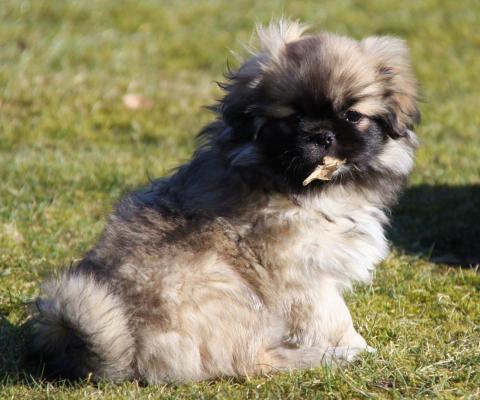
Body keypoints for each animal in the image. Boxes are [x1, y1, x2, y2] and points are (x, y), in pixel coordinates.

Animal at [28, 20, 420, 382]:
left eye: (352, 116)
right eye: (293, 118)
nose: (322, 135)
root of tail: (129, 352)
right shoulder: (303, 274)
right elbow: (333, 316)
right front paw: (355, 346)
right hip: (232, 289)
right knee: (247, 361)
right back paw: (320, 358)